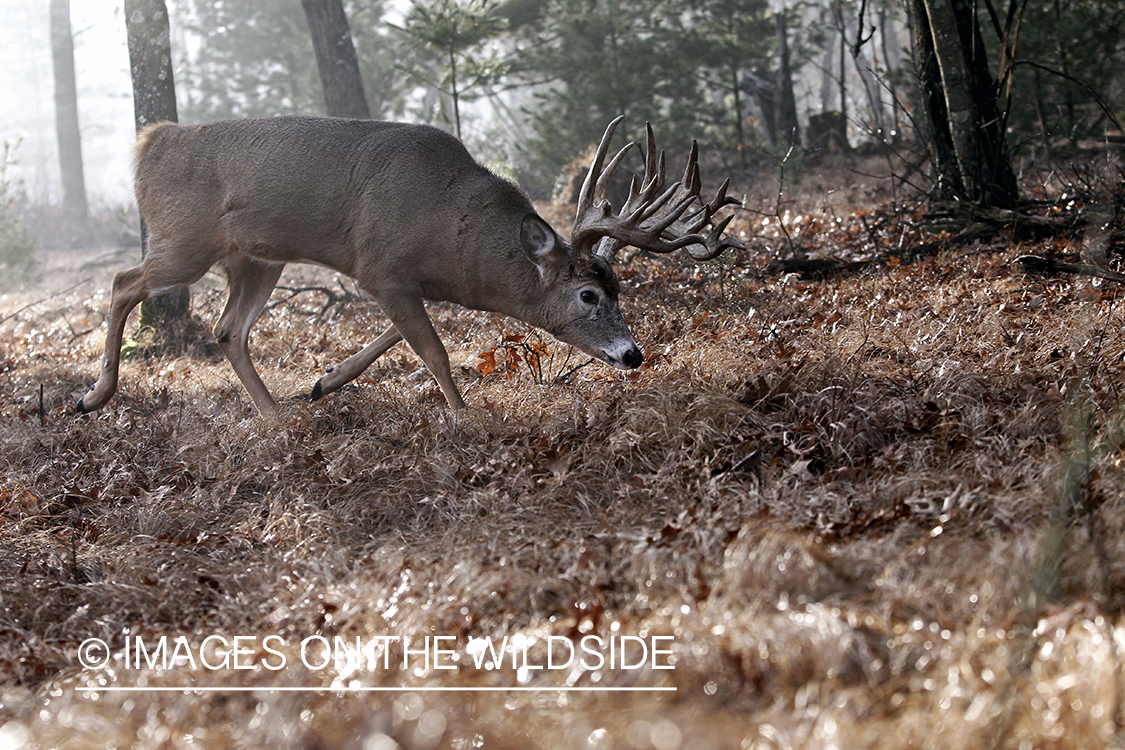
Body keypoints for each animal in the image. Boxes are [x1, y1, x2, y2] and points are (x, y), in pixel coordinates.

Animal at [81, 115, 747, 420]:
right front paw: (463, 417)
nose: (633, 354)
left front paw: (324, 381)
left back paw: (277, 416)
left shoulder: (401, 278)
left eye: (620, 286)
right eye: (589, 294)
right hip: (184, 241)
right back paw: (95, 394)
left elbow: (399, 336)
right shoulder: (379, 264)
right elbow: (433, 349)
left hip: (255, 259)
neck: (447, 227)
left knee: (228, 331)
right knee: (121, 283)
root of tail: (151, 141)